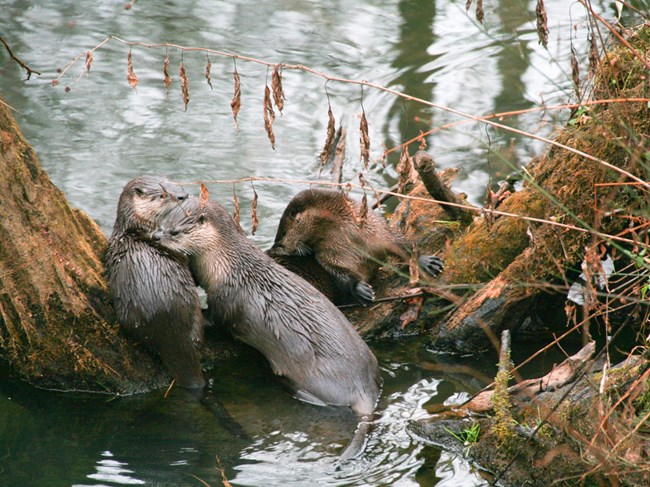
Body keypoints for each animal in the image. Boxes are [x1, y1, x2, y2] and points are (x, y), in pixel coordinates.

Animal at [152, 197, 381, 460]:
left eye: (174, 232)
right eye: (160, 221)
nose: (155, 237)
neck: (227, 265)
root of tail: (365, 388)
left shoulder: (227, 298)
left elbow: (217, 319)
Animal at [269, 188, 444, 306]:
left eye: (282, 234)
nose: (275, 247)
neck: (353, 241)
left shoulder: (378, 230)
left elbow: (399, 242)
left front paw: (425, 261)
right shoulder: (329, 258)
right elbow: (340, 274)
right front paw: (361, 289)